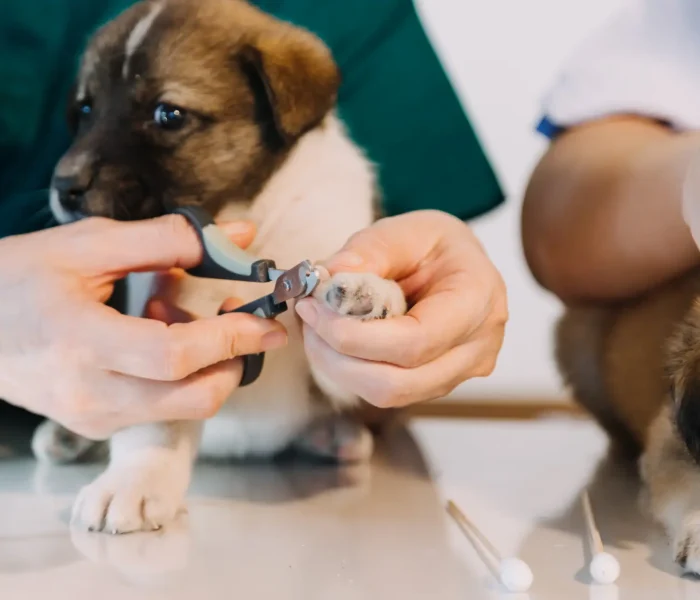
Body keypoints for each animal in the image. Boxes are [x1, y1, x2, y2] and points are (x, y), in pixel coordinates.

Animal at [38, 0, 408, 536]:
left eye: (168, 114)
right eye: (86, 109)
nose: (63, 186)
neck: (252, 217)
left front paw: (366, 292)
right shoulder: (165, 332)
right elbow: (157, 421)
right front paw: (133, 480)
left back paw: (334, 435)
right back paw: (69, 437)